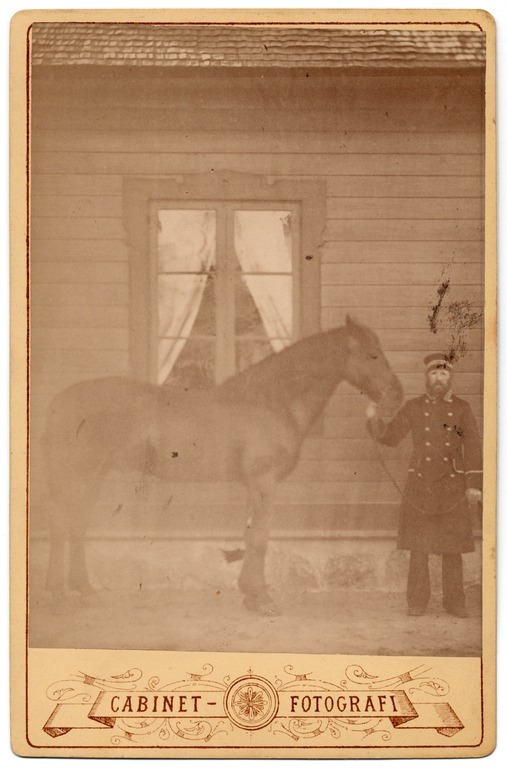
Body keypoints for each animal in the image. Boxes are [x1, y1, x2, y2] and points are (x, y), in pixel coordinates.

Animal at [41, 315, 403, 615]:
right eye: (371, 354)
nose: (396, 396)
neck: (270, 401)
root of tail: (59, 401)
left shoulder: (254, 485)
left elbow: (250, 535)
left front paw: (250, 594)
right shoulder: (264, 482)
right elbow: (260, 538)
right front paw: (263, 600)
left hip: (95, 474)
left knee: (76, 525)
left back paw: (86, 593)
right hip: (79, 474)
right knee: (61, 526)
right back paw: (59, 598)